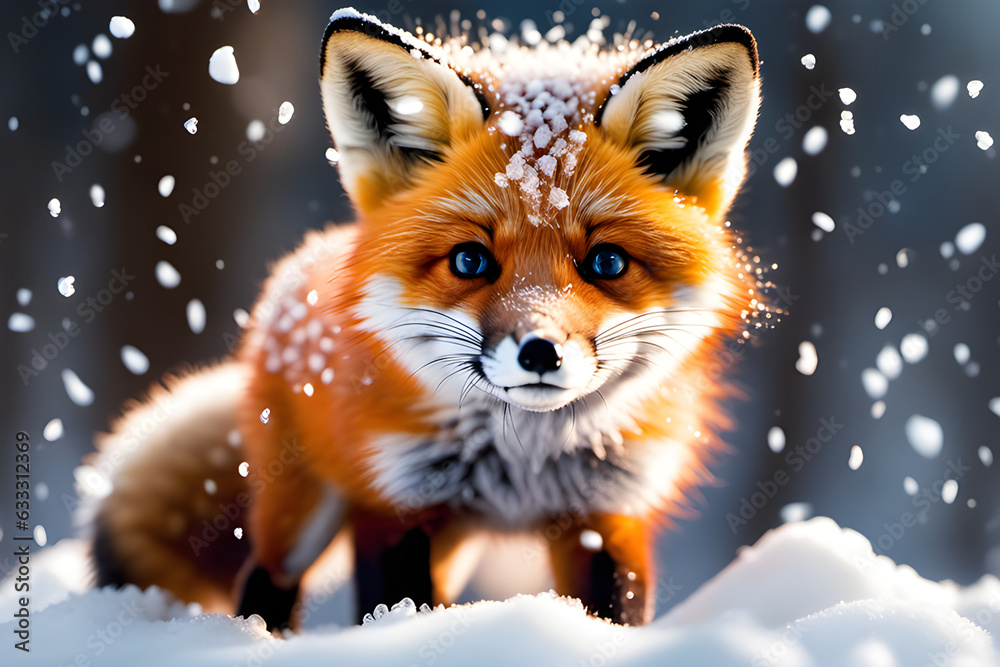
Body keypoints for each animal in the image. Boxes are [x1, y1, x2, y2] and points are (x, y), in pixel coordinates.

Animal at [83, 8, 765, 630]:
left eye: (607, 261)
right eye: (470, 260)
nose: (539, 351)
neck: (524, 457)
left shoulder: (609, 515)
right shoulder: (393, 502)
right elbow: (392, 610)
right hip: (303, 508)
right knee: (264, 579)